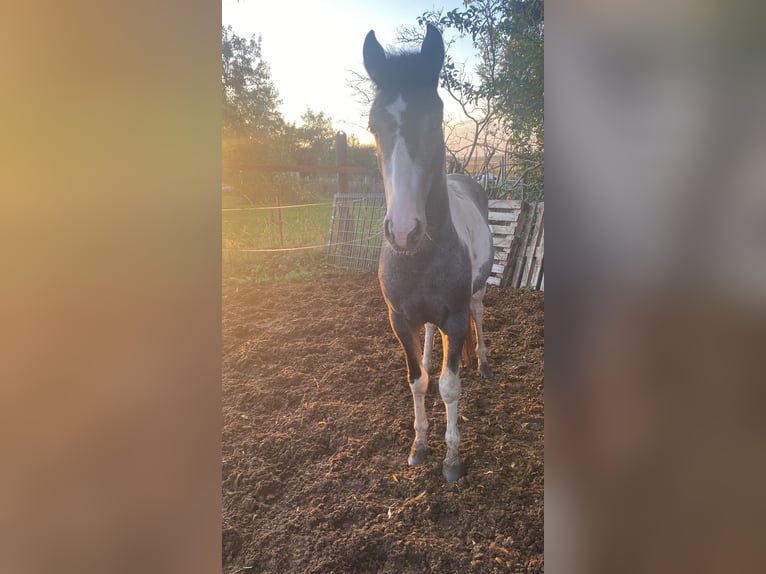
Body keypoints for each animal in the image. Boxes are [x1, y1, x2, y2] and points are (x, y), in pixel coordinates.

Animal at [364, 23, 496, 482]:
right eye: (373, 126)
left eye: (435, 119)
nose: (404, 231)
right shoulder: (398, 319)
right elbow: (418, 380)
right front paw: (418, 447)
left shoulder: (454, 319)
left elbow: (449, 385)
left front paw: (452, 459)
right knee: (426, 343)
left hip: (475, 296)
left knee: (478, 315)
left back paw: (484, 363)